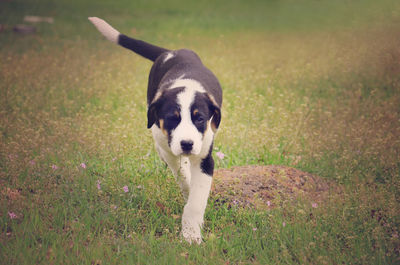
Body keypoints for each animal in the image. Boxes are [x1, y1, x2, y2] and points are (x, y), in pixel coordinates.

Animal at [88, 17, 223, 243]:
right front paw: (190, 231)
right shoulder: (168, 148)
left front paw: (191, 234)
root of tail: (171, 51)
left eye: (200, 119)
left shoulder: (205, 158)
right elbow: (183, 178)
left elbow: (196, 200)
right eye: (171, 119)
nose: (187, 144)